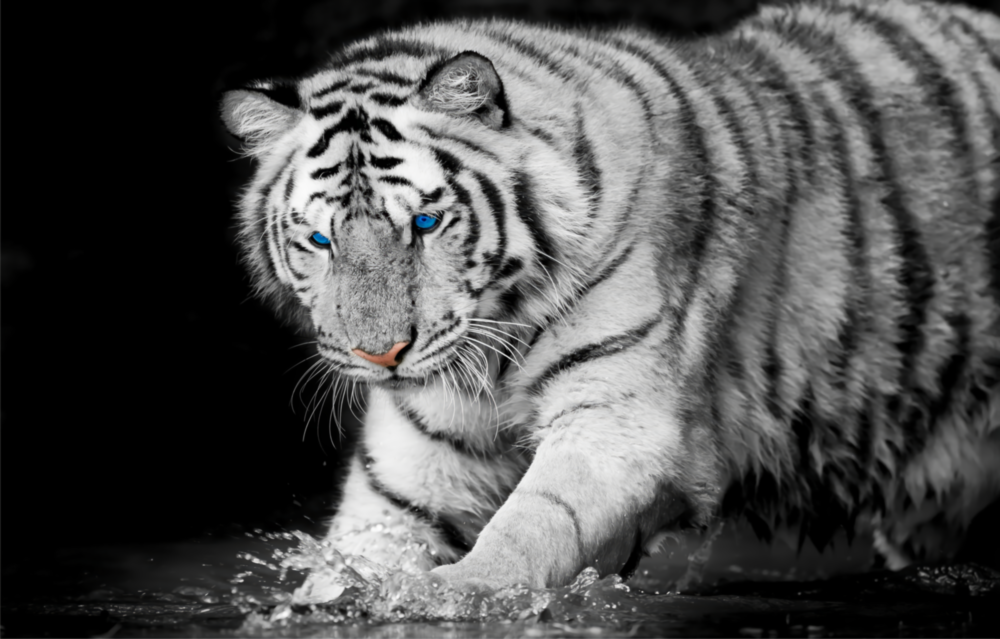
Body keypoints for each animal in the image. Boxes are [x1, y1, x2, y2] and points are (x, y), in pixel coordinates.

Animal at [220, 0, 1000, 597]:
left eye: (425, 223)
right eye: (320, 240)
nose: (380, 355)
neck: (495, 345)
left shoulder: (619, 423)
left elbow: (534, 523)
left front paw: (457, 594)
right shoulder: (415, 458)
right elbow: (361, 549)